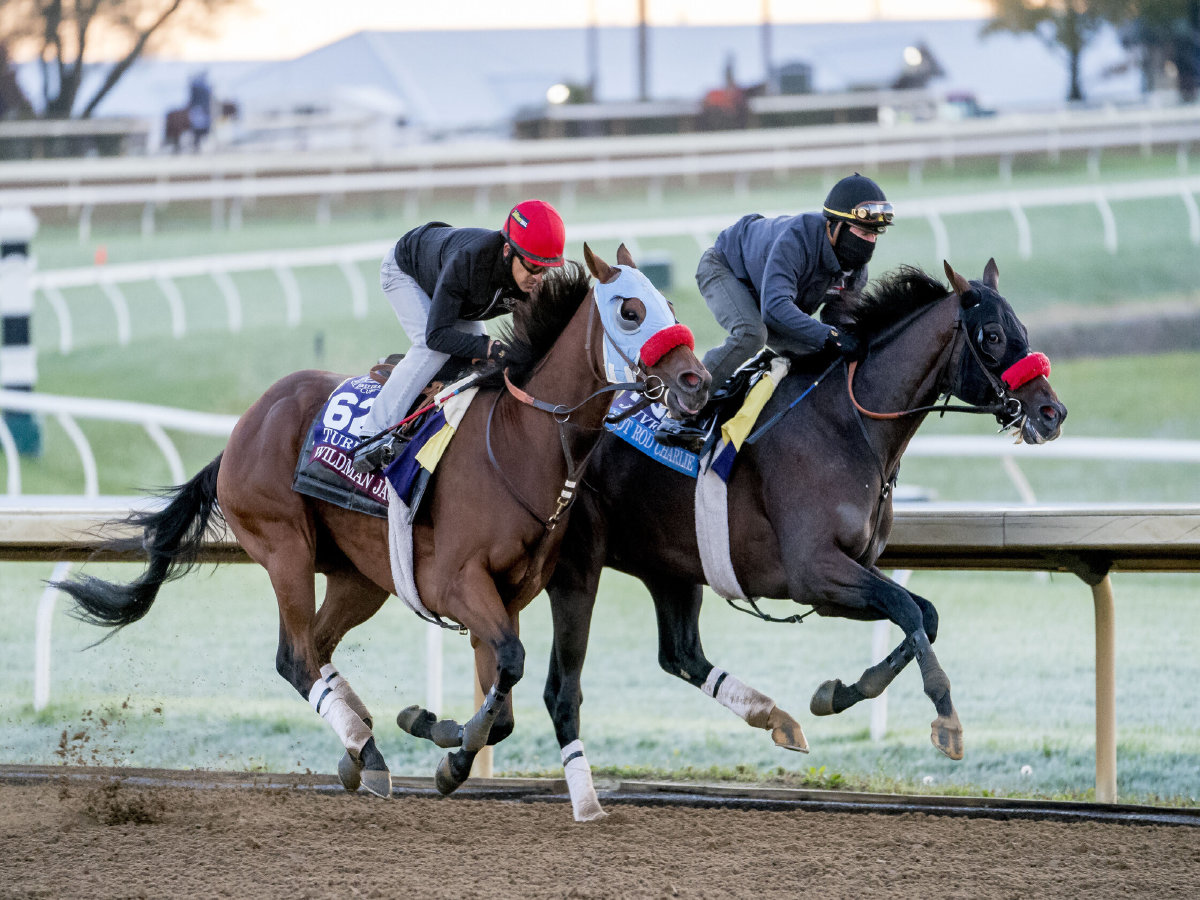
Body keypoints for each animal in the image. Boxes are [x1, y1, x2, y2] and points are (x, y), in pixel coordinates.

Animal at [56, 244, 705, 796]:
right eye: (630, 310)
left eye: (671, 306)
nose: (694, 382)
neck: (519, 442)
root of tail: (242, 429)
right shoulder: (456, 583)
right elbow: (511, 667)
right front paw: (447, 747)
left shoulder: (507, 594)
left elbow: (503, 699)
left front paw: (438, 736)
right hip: (284, 546)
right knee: (295, 656)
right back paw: (365, 751)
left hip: (360, 575)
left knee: (318, 647)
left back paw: (357, 745)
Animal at [544, 256, 1070, 820]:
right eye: (992, 335)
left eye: (1021, 329)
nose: (1052, 413)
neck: (846, 426)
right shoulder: (814, 572)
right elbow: (908, 610)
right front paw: (945, 718)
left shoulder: (846, 574)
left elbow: (923, 614)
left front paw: (839, 693)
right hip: (580, 565)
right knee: (562, 687)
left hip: (670, 563)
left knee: (679, 653)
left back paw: (776, 717)